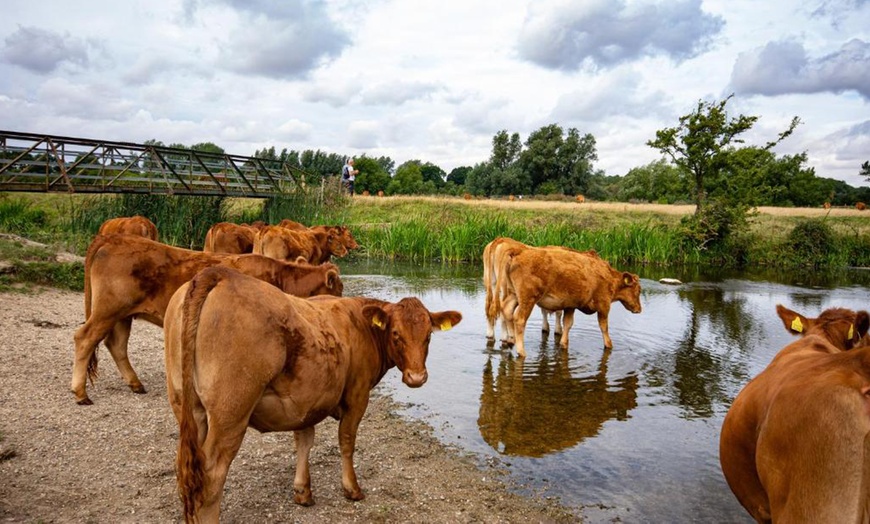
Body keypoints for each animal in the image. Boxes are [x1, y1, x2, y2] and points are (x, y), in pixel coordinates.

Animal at [71, 234, 344, 406]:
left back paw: (135, 383)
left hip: (122, 314)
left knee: (116, 345)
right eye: (338, 289)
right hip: (108, 309)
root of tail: (113, 238)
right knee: (85, 338)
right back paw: (81, 393)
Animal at [164, 268, 464, 520]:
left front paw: (303, 492)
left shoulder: (306, 399)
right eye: (396, 334)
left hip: (187, 407)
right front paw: (352, 488)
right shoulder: (357, 395)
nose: (416, 377)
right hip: (231, 412)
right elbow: (346, 441)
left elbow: (304, 440)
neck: (360, 324)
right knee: (211, 476)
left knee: (187, 474)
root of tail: (219, 274)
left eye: (428, 336)